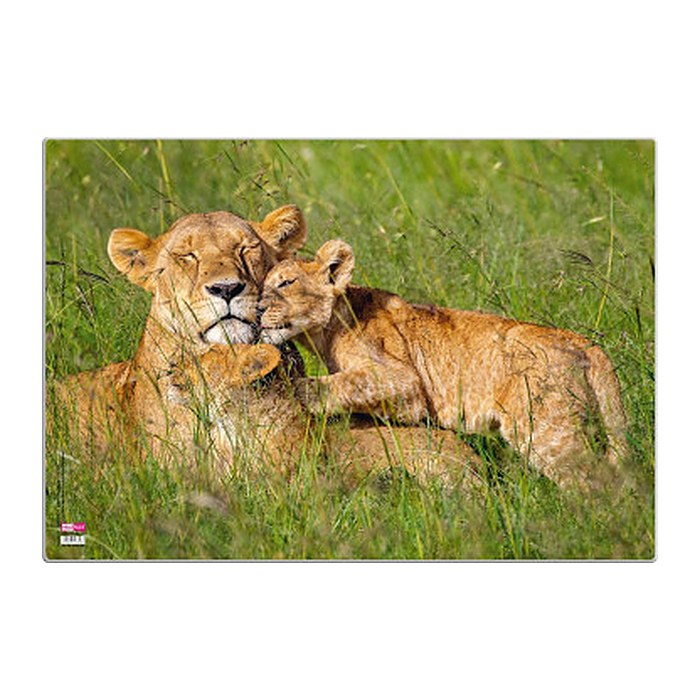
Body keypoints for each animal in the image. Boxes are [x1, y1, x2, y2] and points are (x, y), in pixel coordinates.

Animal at [258, 239, 629, 488]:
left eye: (286, 282)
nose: (258, 309)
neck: (326, 331)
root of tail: (583, 343)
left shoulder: (405, 383)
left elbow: (345, 383)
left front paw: (297, 389)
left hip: (547, 431)